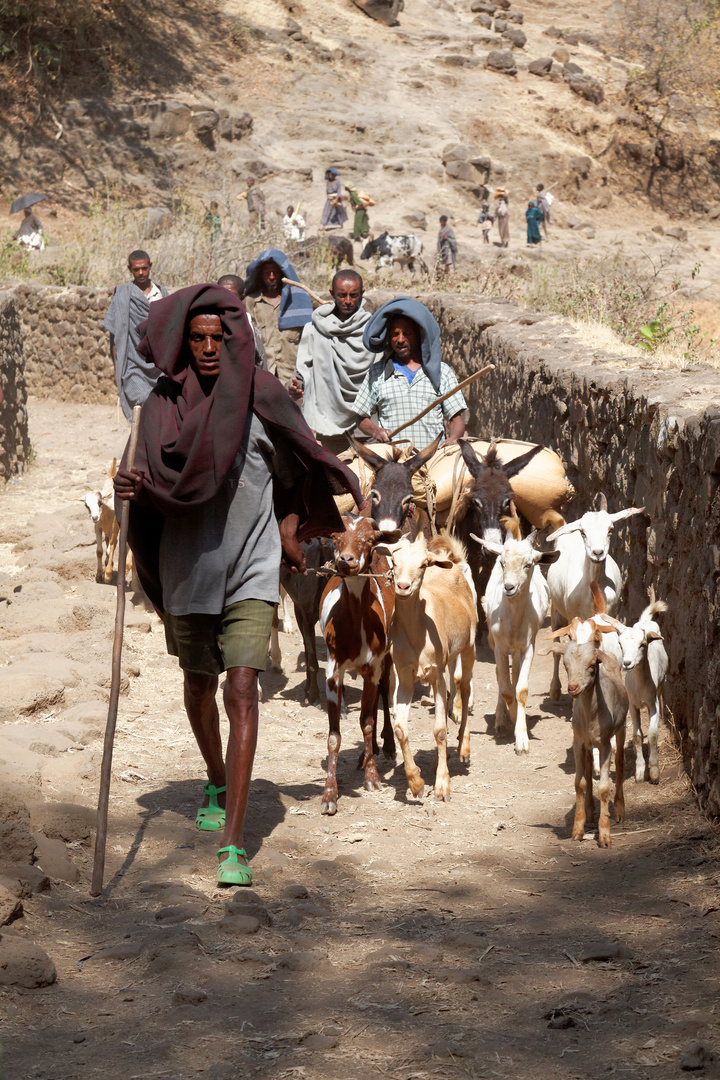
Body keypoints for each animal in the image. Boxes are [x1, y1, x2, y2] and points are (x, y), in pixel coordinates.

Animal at [481, 520, 561, 751]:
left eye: (528, 564)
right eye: (502, 562)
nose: (509, 587)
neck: (513, 623)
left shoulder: (528, 646)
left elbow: (521, 688)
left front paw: (522, 738)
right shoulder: (499, 647)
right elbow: (506, 688)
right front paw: (512, 717)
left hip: (520, 648)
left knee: (515, 673)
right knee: (502, 678)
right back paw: (500, 719)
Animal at [548, 494, 643, 699]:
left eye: (610, 530)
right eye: (584, 532)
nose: (598, 553)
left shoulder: (609, 613)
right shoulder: (573, 616)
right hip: (556, 610)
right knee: (556, 645)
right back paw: (555, 689)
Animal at [617, 600, 669, 786]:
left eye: (642, 644)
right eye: (620, 645)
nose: (627, 663)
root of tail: (646, 620)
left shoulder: (653, 704)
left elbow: (652, 735)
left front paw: (653, 772)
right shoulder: (632, 705)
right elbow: (637, 736)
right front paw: (639, 772)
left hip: (661, 686)